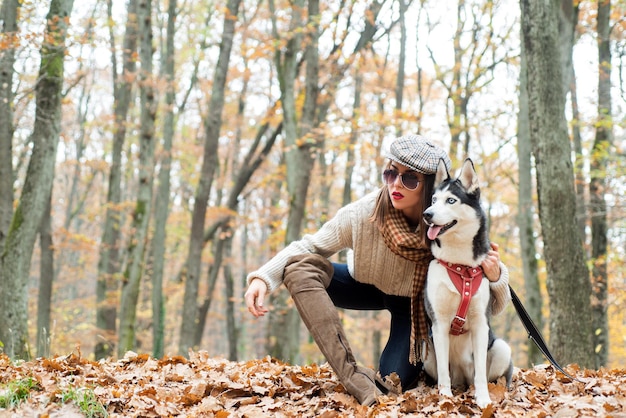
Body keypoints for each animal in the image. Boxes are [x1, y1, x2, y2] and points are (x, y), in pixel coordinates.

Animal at [420, 158, 512, 408]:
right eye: (434, 200)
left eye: (451, 200)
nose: (427, 214)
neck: (460, 264)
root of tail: (462, 381)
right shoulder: (439, 324)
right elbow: (443, 372)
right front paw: (444, 397)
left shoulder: (481, 323)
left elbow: (480, 372)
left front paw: (484, 400)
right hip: (426, 351)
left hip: (501, 348)